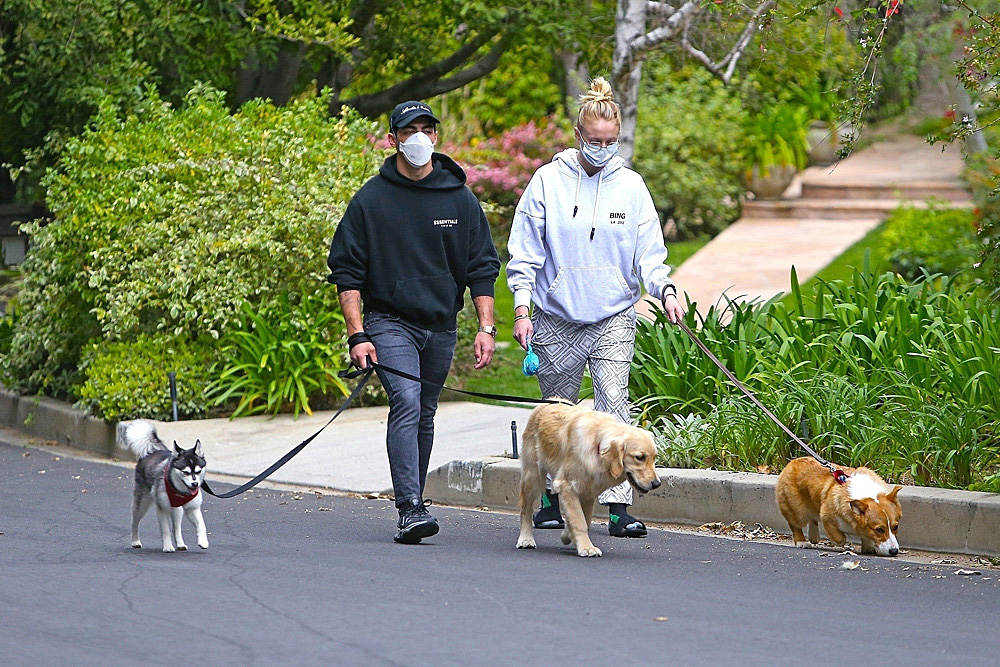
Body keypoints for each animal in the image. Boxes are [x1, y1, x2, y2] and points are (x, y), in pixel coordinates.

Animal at [122, 422, 210, 552]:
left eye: (198, 471)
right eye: (185, 472)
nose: (195, 484)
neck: (180, 490)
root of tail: (152, 450)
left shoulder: (193, 508)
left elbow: (201, 525)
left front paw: (203, 541)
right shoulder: (162, 508)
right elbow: (166, 530)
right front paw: (168, 546)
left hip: (177, 510)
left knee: (177, 527)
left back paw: (180, 544)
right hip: (141, 504)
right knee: (134, 522)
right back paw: (135, 541)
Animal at [516, 402, 664, 560]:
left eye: (654, 457)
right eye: (640, 457)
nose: (657, 484)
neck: (597, 444)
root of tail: (544, 404)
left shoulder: (587, 492)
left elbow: (584, 520)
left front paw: (569, 535)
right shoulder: (567, 486)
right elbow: (579, 521)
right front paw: (586, 547)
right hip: (532, 476)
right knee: (525, 509)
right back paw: (525, 539)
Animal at [772, 456, 908, 556]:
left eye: (895, 527)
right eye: (879, 530)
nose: (894, 551)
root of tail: (793, 461)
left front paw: (868, 546)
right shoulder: (827, 517)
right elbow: (840, 538)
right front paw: (843, 542)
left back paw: (813, 536)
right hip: (797, 510)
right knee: (796, 525)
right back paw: (802, 542)